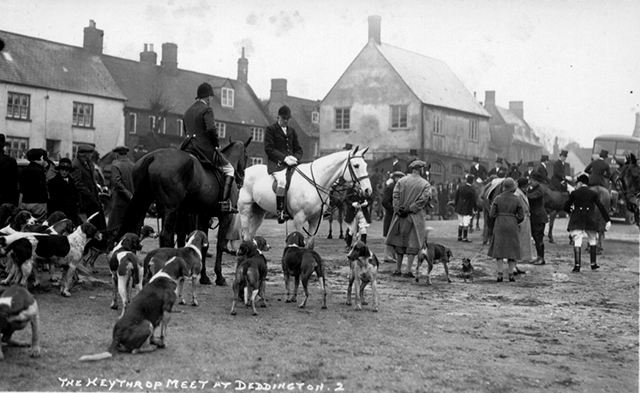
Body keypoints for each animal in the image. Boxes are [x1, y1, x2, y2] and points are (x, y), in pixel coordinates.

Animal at [117, 138, 250, 284]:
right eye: (246, 155)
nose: (241, 178)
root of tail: (152, 156)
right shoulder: (225, 216)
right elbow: (219, 245)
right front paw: (219, 277)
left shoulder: (204, 215)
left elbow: (204, 245)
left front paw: (204, 277)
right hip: (171, 208)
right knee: (166, 236)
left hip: (143, 201)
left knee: (135, 230)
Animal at [238, 146, 372, 240]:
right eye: (356, 165)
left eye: (366, 165)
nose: (368, 190)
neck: (315, 181)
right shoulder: (298, 218)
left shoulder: (315, 220)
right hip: (245, 210)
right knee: (246, 234)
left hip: (259, 211)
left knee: (251, 234)